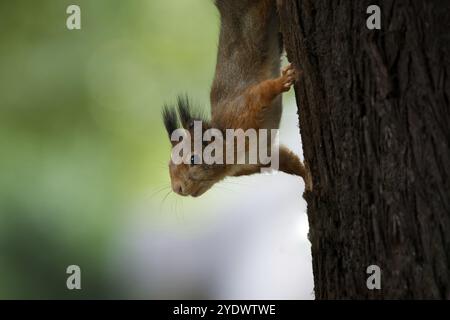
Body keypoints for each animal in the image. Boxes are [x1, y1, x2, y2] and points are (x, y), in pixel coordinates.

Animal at [163, 0, 312, 198]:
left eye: (193, 159)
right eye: (169, 165)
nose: (177, 189)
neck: (234, 156)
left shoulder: (243, 111)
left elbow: (263, 92)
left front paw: (283, 81)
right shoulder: (261, 157)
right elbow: (288, 160)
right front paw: (308, 181)